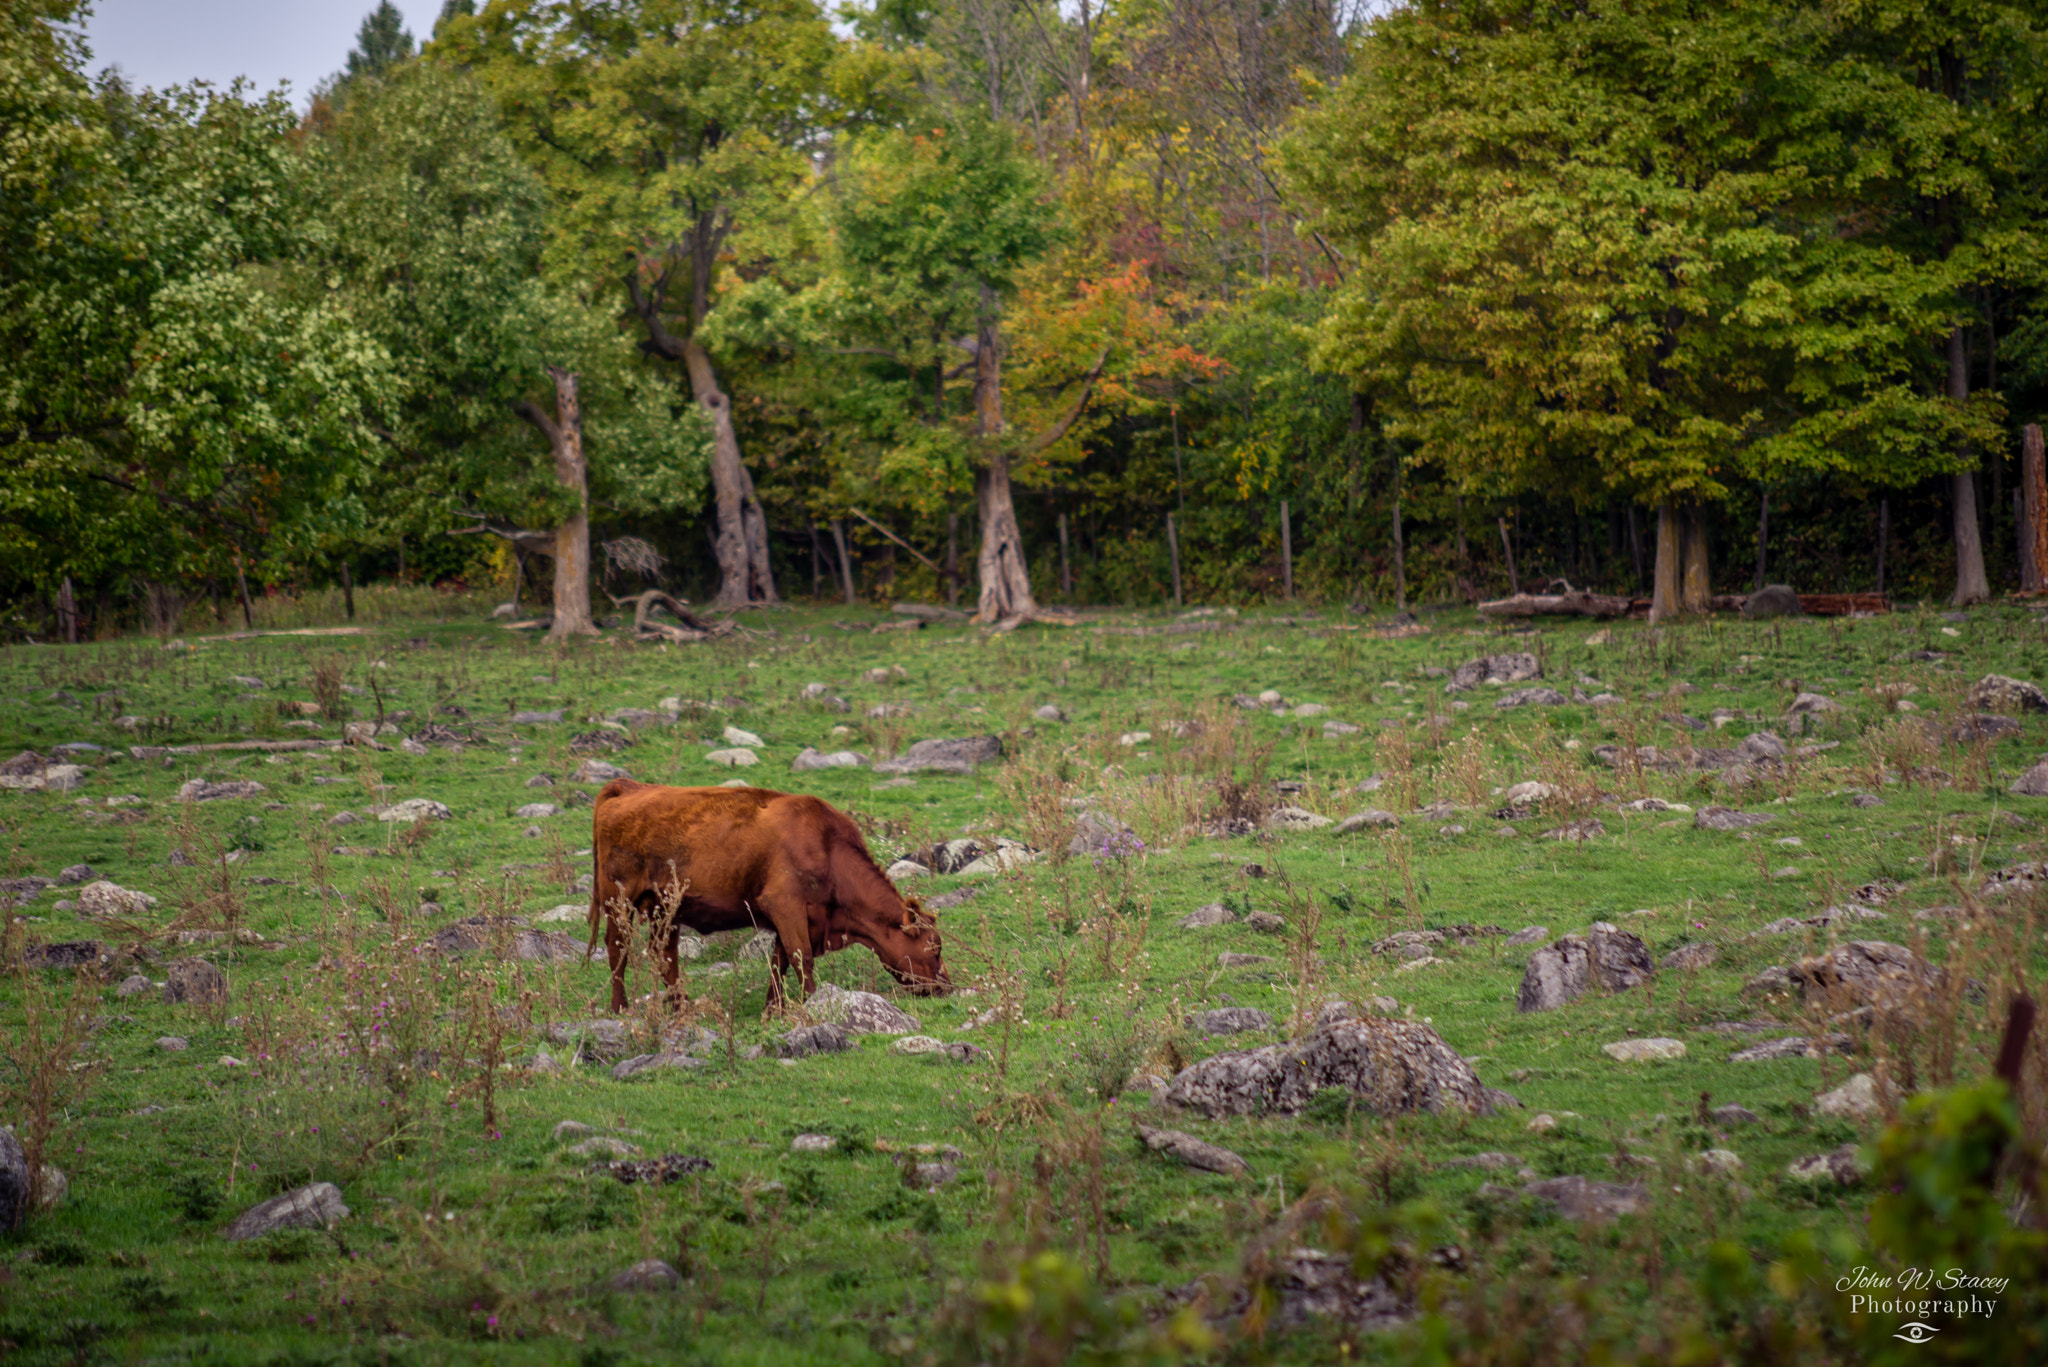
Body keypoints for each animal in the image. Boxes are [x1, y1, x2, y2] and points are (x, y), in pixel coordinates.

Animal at [585, 778, 950, 1016]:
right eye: (934, 947)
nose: (946, 986)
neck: (827, 848)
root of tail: (629, 786)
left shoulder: (792, 918)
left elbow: (780, 962)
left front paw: (773, 1008)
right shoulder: (785, 905)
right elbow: (801, 958)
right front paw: (810, 1002)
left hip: (666, 909)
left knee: (665, 954)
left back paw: (683, 1007)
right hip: (619, 902)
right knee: (618, 949)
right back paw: (620, 1008)